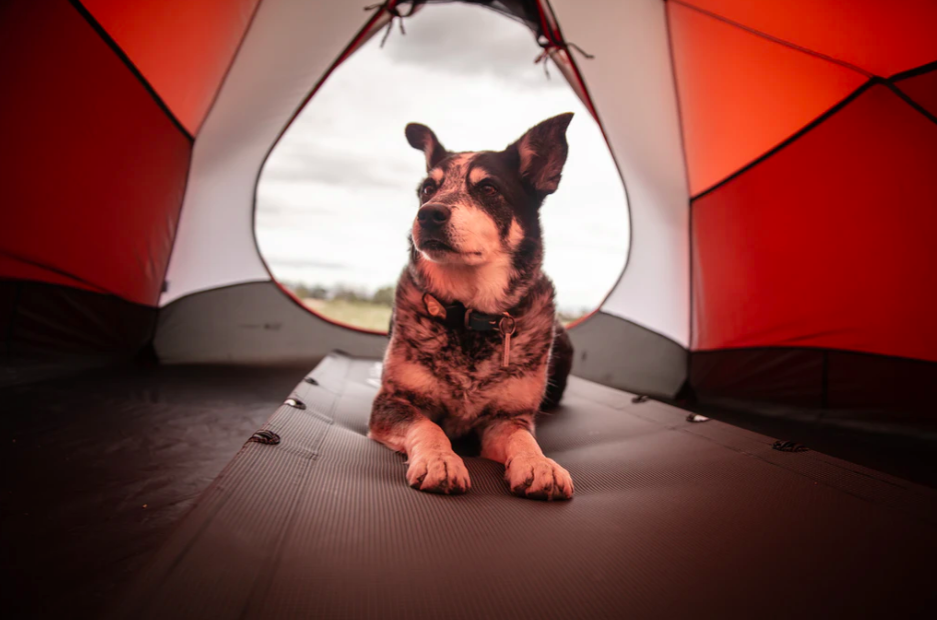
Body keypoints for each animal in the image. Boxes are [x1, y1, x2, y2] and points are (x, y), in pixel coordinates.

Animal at [368, 112, 576, 498]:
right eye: (427, 189)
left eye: (489, 189)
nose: (428, 214)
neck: (469, 314)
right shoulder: (393, 402)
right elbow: (428, 426)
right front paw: (440, 460)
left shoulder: (506, 418)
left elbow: (524, 440)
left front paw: (540, 464)